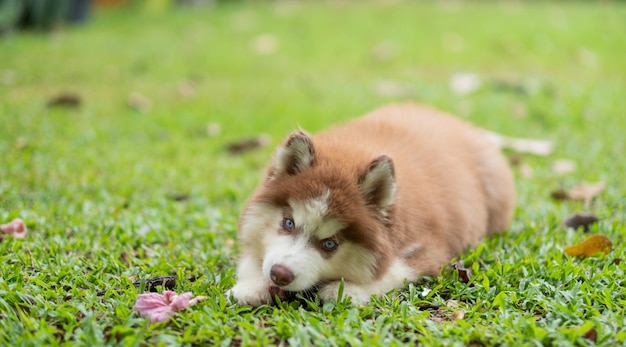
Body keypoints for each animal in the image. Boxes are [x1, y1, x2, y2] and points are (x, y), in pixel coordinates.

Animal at [227, 103, 516, 308]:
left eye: (329, 244)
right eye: (288, 223)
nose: (280, 275)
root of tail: (463, 126)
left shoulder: (431, 251)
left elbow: (392, 271)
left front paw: (346, 289)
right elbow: (252, 257)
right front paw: (251, 285)